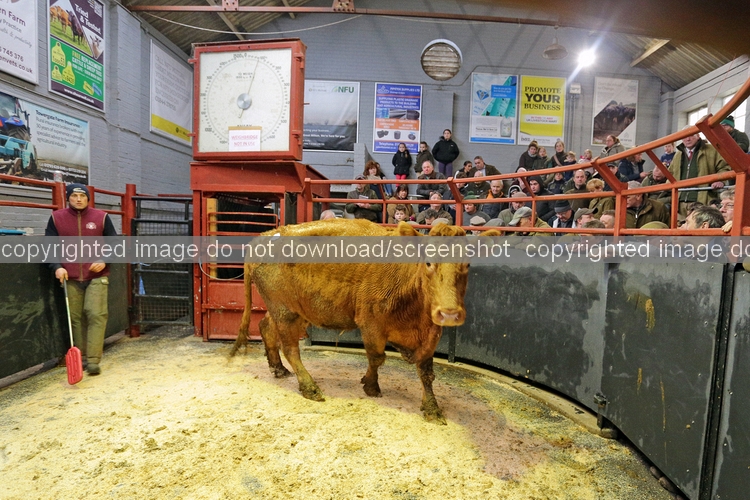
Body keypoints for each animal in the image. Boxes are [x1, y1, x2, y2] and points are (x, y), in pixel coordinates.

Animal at [231, 219, 486, 424]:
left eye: (467, 265)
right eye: (429, 262)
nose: (449, 313)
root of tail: (263, 238)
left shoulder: (430, 335)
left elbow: (426, 372)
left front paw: (432, 408)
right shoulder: (371, 325)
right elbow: (377, 357)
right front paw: (371, 385)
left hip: (293, 311)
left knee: (266, 327)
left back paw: (278, 369)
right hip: (284, 312)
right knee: (290, 348)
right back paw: (309, 387)